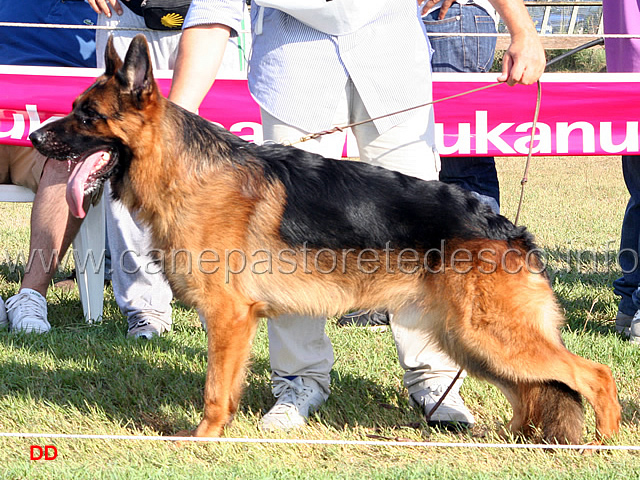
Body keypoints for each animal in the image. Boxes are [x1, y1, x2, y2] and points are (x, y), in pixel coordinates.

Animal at [30, 35, 620, 444]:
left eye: (87, 115)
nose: (33, 135)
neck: (184, 169)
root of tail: (507, 229)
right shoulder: (238, 323)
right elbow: (230, 385)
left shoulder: (228, 317)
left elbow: (215, 390)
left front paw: (202, 442)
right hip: (473, 343)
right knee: (538, 390)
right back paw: (522, 440)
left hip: (491, 337)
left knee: (594, 374)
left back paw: (602, 443)